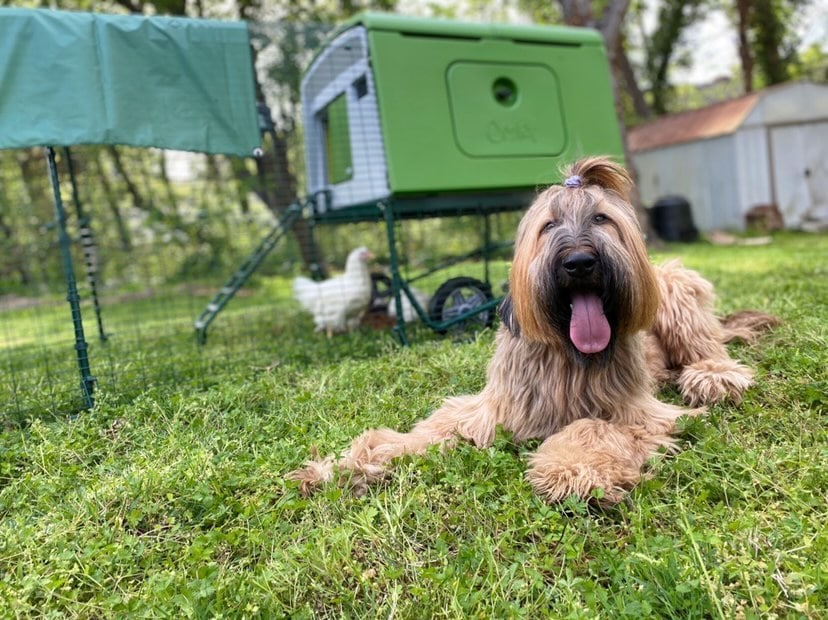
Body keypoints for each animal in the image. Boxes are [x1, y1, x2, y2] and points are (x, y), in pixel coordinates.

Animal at [290, 156, 776, 504]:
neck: (566, 351)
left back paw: (713, 376)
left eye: (601, 219)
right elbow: (423, 433)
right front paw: (346, 465)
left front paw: (572, 470)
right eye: (549, 225)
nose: (579, 262)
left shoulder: (636, 411)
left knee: (705, 348)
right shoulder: (489, 408)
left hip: (674, 287)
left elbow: (591, 426)